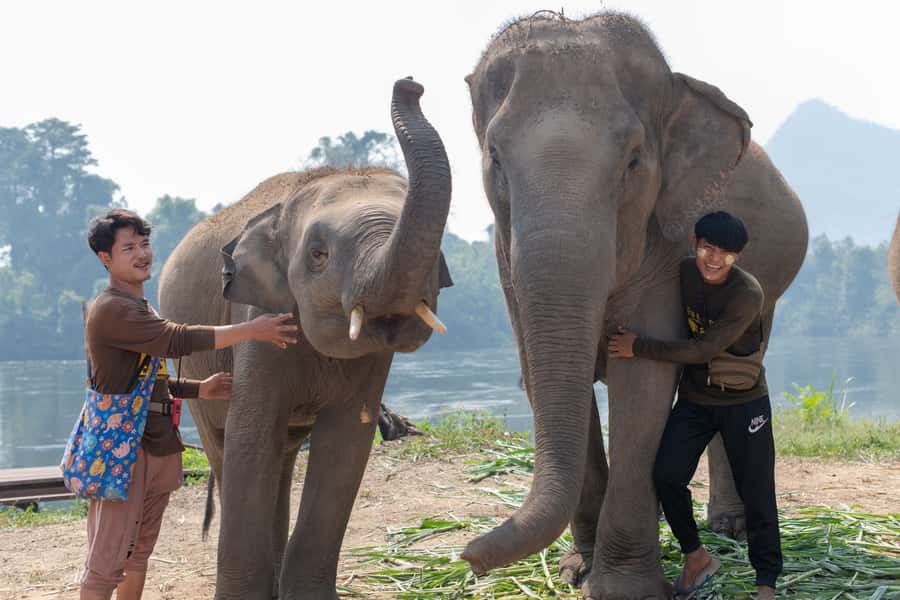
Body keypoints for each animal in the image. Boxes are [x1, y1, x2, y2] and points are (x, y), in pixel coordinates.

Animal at [157, 78, 452, 600]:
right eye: (318, 254)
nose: (411, 83)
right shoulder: (258, 318)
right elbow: (250, 438)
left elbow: (345, 444)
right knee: (225, 448)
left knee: (283, 456)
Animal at [458, 12, 807, 599]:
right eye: (496, 160)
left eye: (634, 161)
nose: (469, 557)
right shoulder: (510, 265)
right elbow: (541, 372)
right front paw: (578, 571)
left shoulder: (666, 244)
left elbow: (643, 383)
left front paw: (624, 590)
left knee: (737, 370)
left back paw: (727, 529)